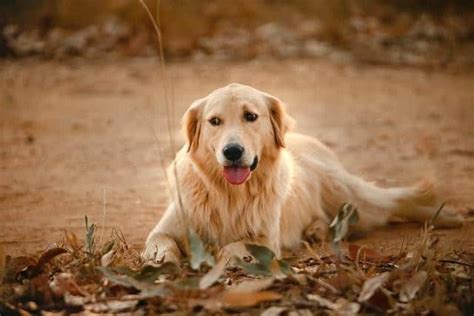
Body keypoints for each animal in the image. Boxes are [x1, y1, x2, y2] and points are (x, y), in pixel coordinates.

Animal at [143, 82, 462, 262]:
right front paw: (161, 259)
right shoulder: (168, 227)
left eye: (251, 116)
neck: (228, 193)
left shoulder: (266, 240)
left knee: (392, 201)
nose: (232, 151)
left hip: (348, 193)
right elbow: (159, 243)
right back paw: (316, 230)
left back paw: (446, 215)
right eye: (214, 121)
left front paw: (221, 256)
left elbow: (234, 246)